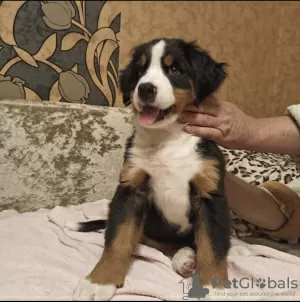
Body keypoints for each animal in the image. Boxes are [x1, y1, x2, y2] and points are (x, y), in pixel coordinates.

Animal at [71, 37, 231, 300]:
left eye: (174, 69)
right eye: (140, 71)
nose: (145, 89)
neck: (167, 139)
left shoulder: (209, 195)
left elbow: (213, 245)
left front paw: (214, 288)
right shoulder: (131, 188)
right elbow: (117, 239)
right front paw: (99, 281)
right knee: (161, 245)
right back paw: (184, 258)